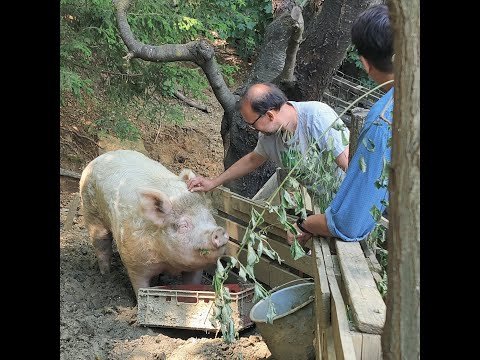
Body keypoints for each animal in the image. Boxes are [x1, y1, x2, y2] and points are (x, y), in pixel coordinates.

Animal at [79, 150, 229, 298]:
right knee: (101, 244)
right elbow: (141, 287)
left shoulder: (195, 268)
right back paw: (106, 274)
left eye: (209, 216)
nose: (219, 231)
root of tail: (102, 156)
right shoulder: (134, 264)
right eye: (183, 225)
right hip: (91, 212)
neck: (168, 262)